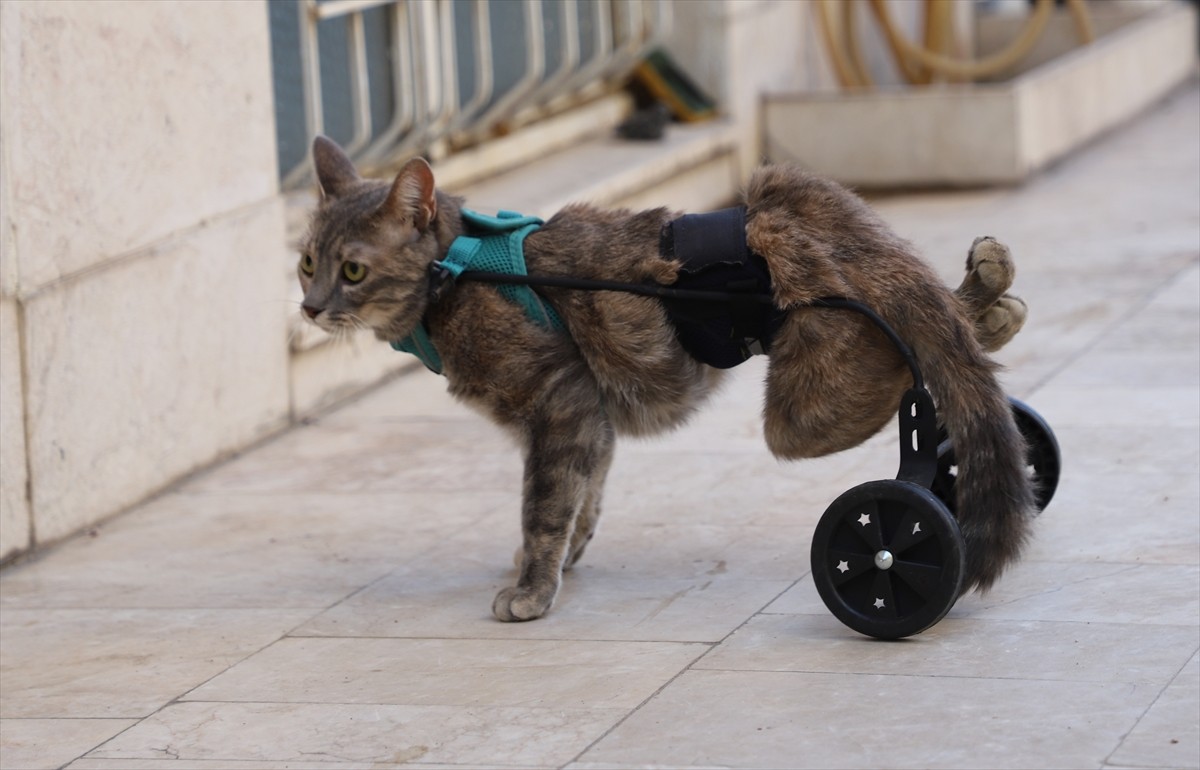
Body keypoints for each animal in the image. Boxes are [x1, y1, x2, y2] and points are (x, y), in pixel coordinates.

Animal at [297, 134, 1032, 618]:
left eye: (353, 270)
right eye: (306, 262)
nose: (308, 306)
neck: (456, 272)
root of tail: (794, 212)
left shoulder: (559, 399)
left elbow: (544, 505)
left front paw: (533, 589)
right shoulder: (588, 416)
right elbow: (585, 492)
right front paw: (564, 559)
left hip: (804, 410)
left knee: (913, 371)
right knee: (957, 334)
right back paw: (994, 291)